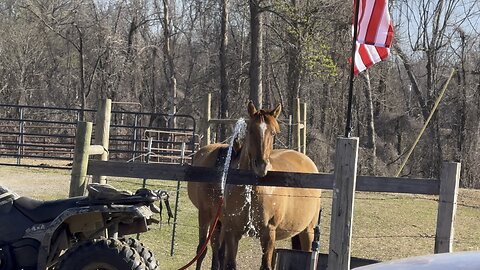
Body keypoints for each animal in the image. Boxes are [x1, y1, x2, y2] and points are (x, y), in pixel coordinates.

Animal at [221, 102, 322, 270]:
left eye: (274, 133)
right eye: (250, 130)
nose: (261, 166)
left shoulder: (268, 232)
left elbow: (266, 266)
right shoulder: (231, 232)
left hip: (307, 232)